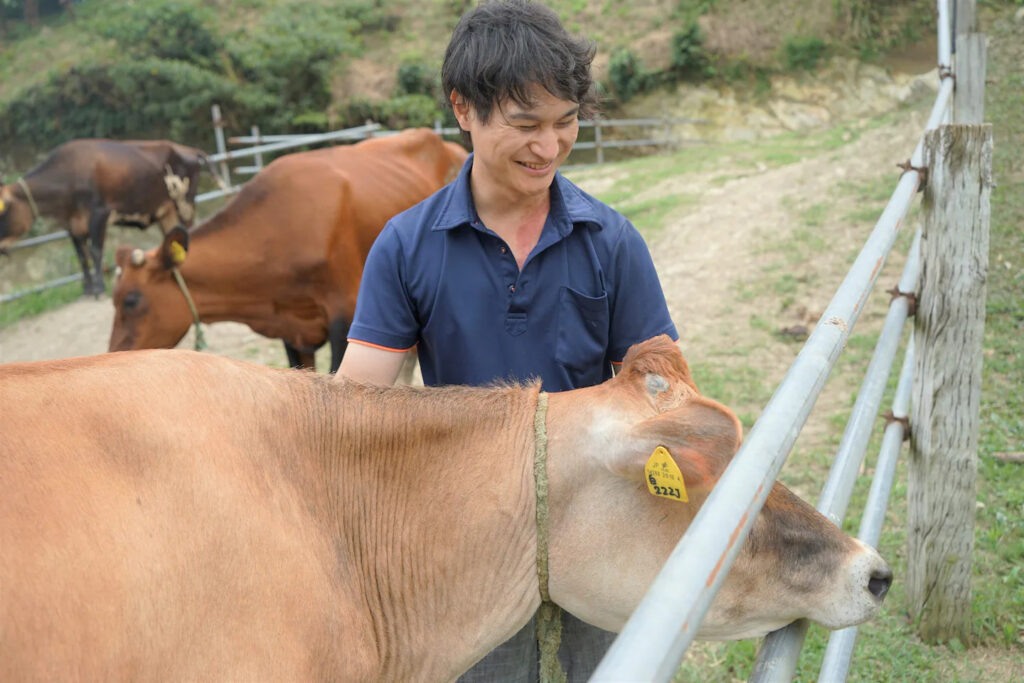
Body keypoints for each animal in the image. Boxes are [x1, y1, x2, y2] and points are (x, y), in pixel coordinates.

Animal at [0, 139, 223, 296]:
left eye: (2, 210)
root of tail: (187, 148)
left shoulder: (100, 213)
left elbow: (96, 251)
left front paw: (98, 288)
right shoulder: (72, 225)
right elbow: (82, 257)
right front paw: (87, 289)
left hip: (184, 204)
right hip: (167, 211)